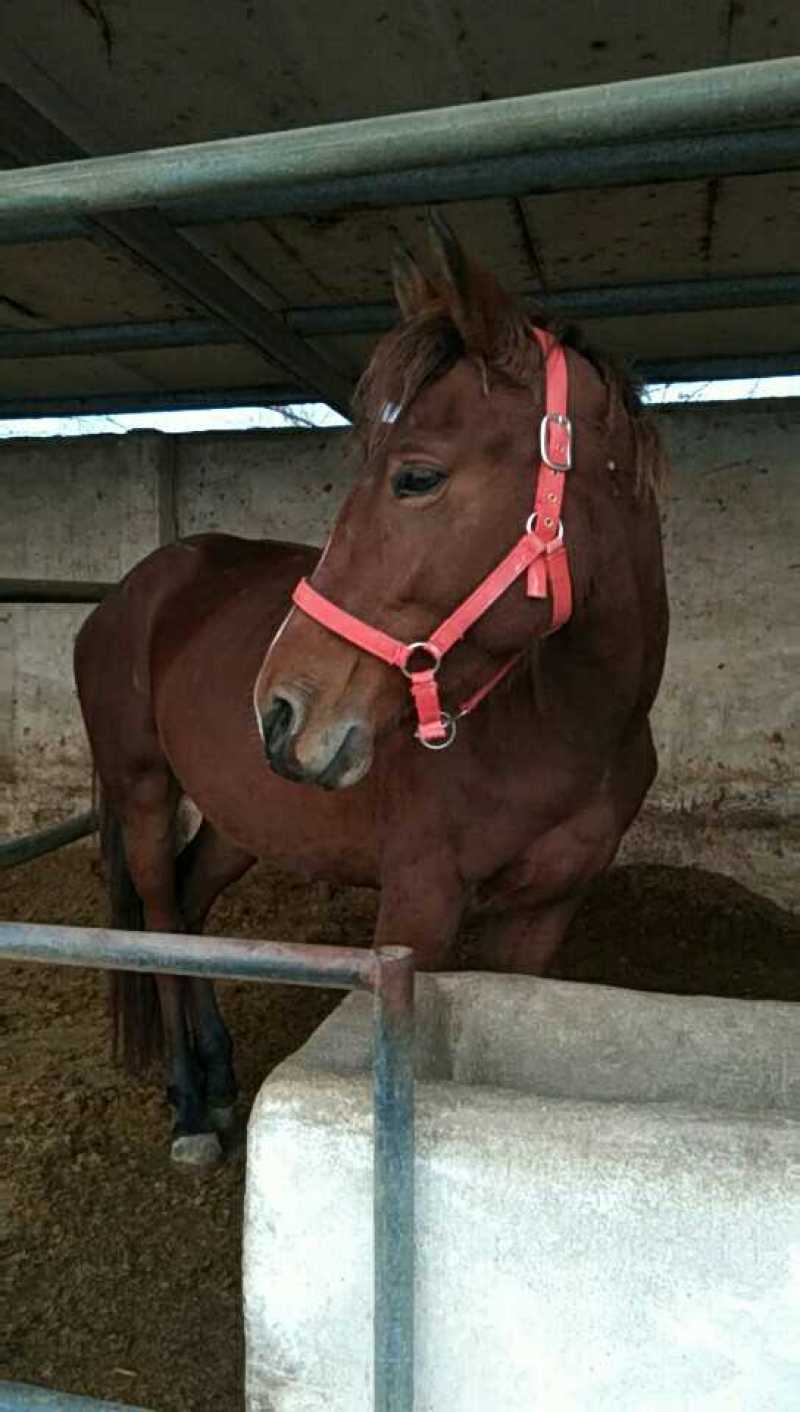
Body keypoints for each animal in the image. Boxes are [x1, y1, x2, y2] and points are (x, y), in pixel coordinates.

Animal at [75, 218, 668, 1166]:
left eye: (416, 477)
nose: (280, 710)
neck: (562, 727)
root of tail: (127, 593)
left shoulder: (546, 914)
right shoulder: (417, 910)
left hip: (242, 814)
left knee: (196, 901)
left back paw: (218, 1074)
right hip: (141, 789)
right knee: (162, 915)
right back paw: (190, 1106)